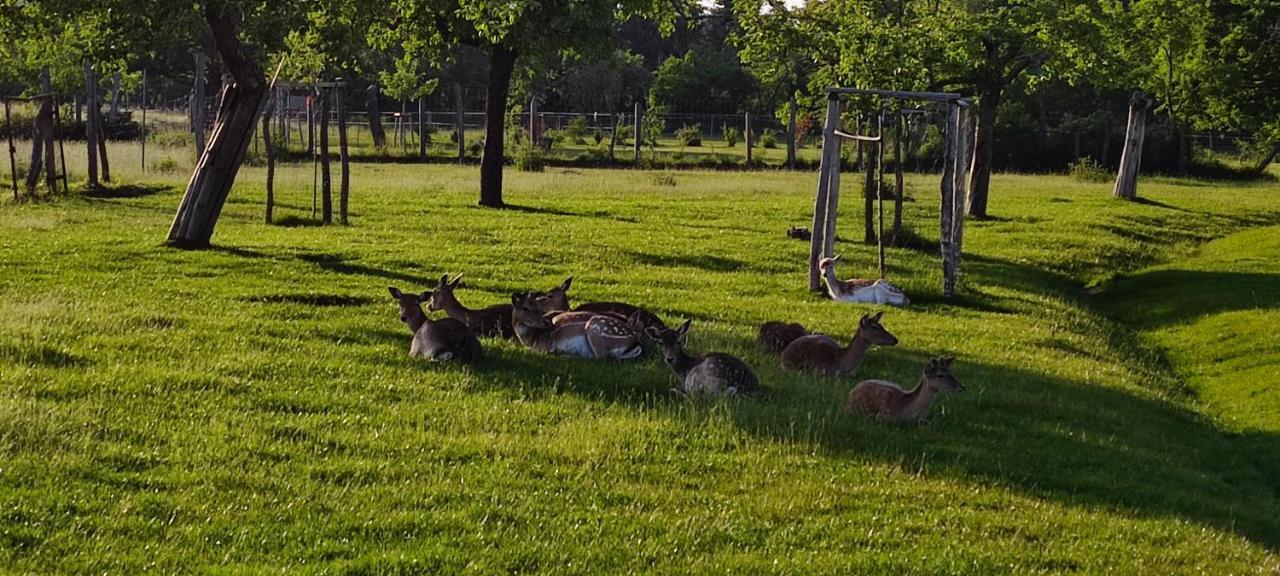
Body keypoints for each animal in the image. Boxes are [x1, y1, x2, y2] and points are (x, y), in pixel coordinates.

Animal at [509, 293, 645, 360]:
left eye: (538, 306)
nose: (545, 322)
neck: (531, 338)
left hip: (596, 328)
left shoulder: (546, 344)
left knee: (601, 357)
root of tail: (635, 339)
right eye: (525, 308)